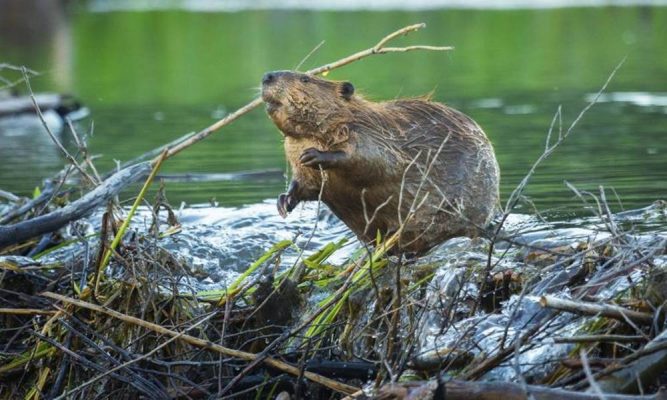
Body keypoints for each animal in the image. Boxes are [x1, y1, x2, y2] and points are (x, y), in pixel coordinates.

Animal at [260, 70, 500, 255]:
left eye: (305, 79)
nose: (267, 76)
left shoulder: (370, 133)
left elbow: (375, 160)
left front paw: (315, 155)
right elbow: (306, 184)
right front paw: (284, 202)